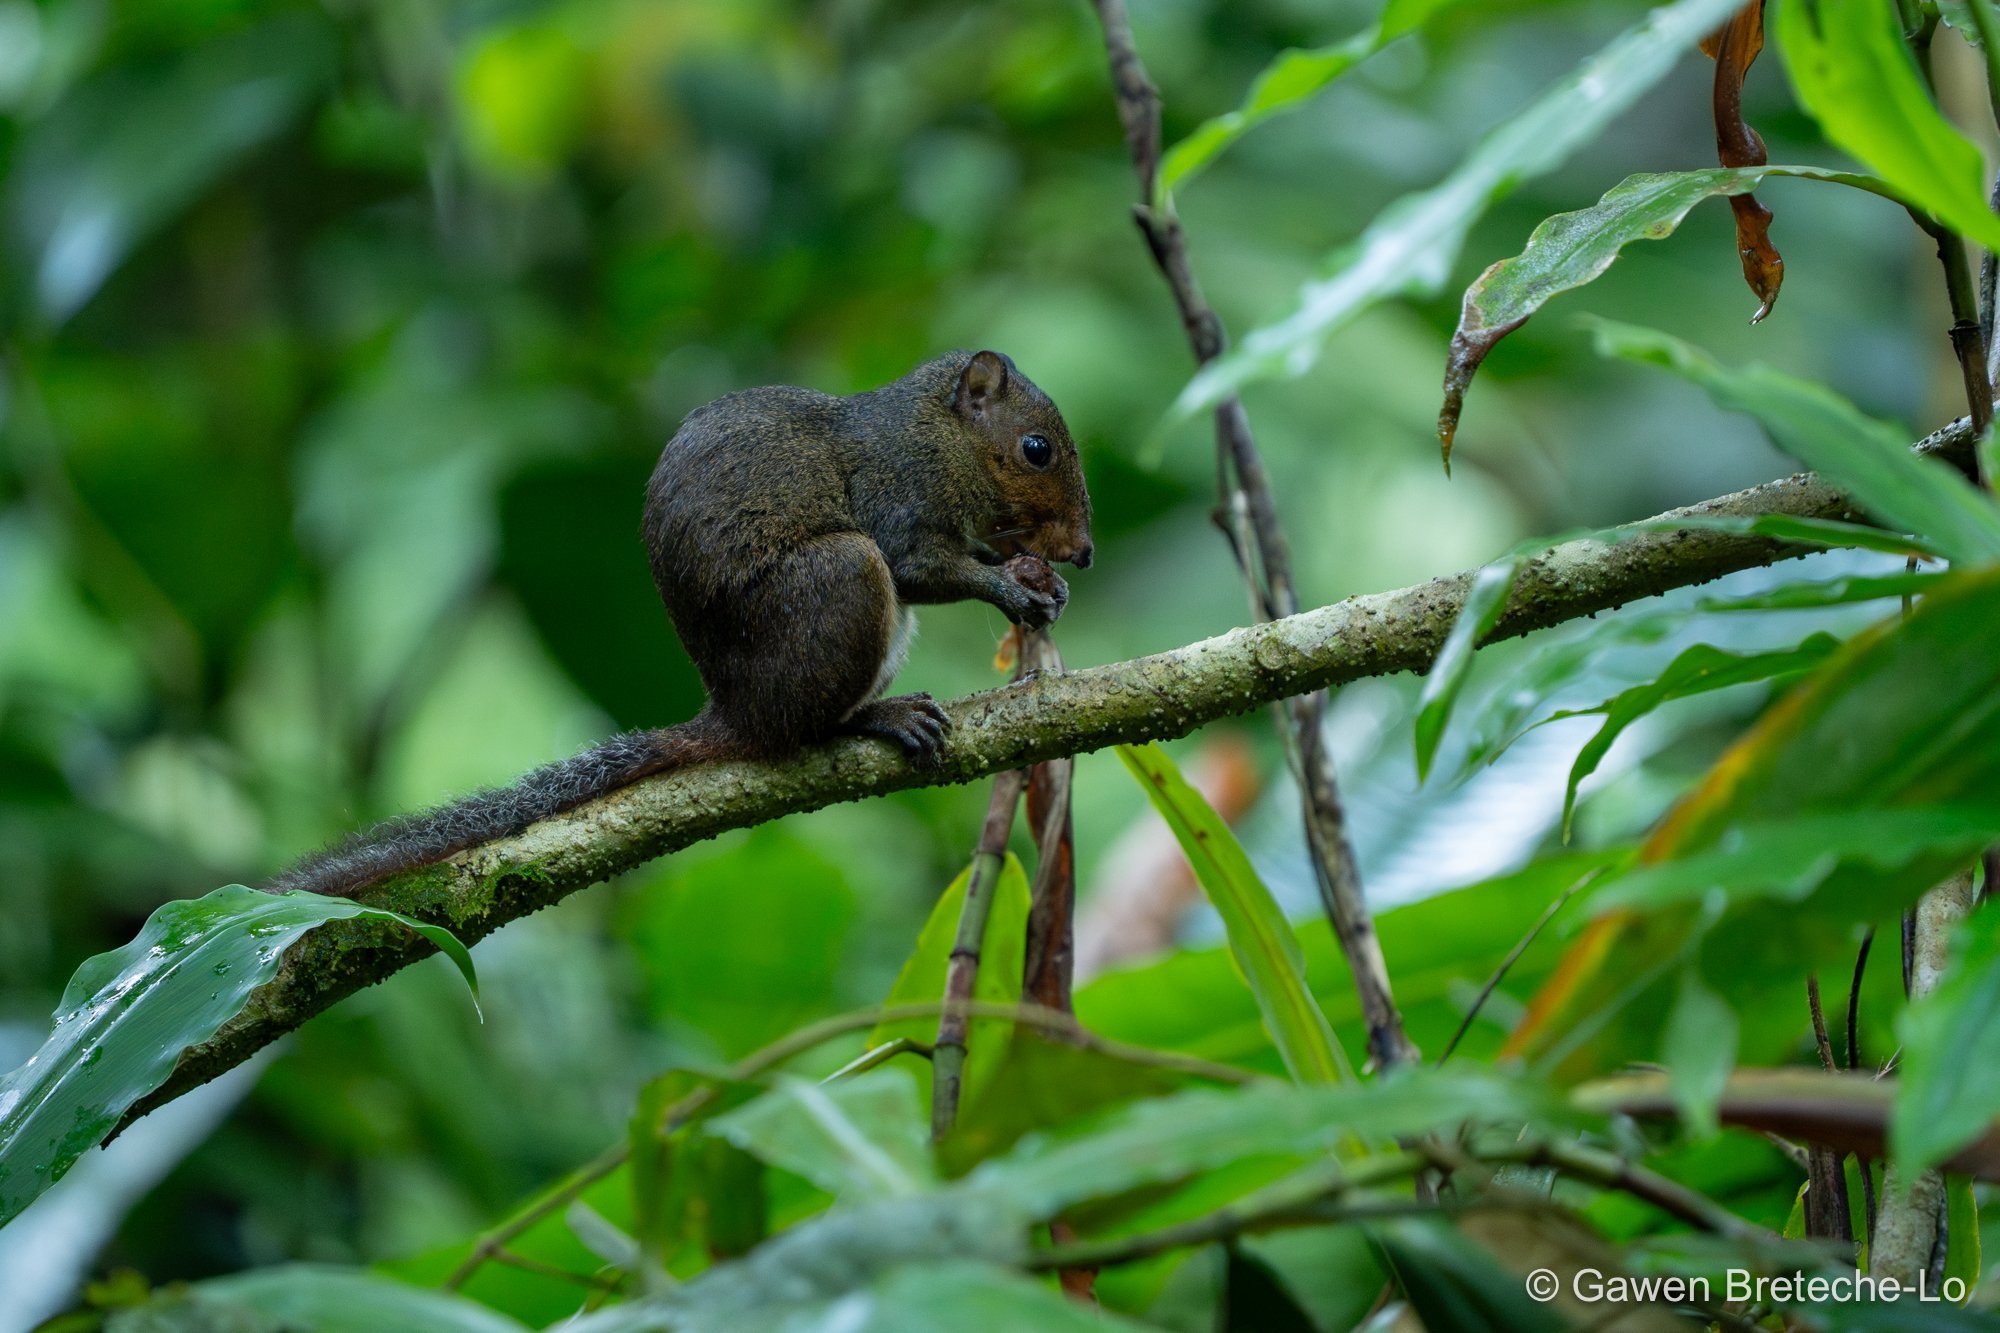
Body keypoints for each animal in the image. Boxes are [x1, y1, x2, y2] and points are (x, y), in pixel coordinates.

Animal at [270, 349, 1093, 898]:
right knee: (805, 729)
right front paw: (1011, 589)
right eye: (1036, 449)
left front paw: (1035, 580)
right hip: (843, 579)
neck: (938, 436)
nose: (1082, 552)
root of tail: (734, 712)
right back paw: (875, 718)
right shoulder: (897, 495)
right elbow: (921, 565)